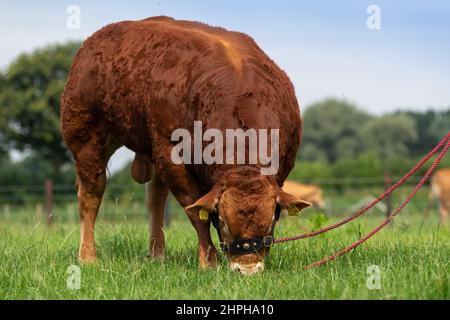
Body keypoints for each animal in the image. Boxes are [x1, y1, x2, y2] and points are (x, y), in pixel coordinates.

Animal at [60, 15, 310, 276]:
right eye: (222, 221)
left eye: (271, 220)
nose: (247, 268)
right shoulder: (172, 156)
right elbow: (197, 213)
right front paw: (208, 260)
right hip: (86, 137)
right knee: (90, 196)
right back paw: (88, 256)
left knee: (155, 198)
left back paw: (157, 254)